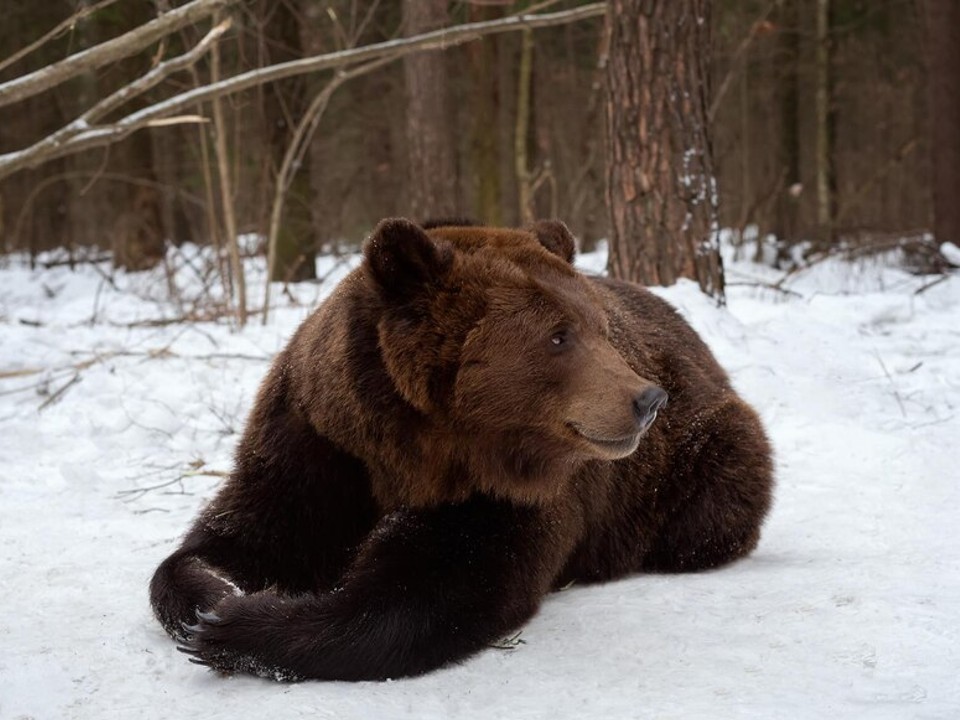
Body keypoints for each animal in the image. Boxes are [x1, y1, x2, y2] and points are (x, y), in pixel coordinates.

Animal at [152, 218, 772, 680]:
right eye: (559, 334)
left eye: (600, 327)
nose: (647, 399)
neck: (407, 451)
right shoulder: (318, 452)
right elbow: (233, 537)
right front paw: (213, 597)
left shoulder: (504, 492)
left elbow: (434, 589)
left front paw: (239, 624)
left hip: (700, 449)